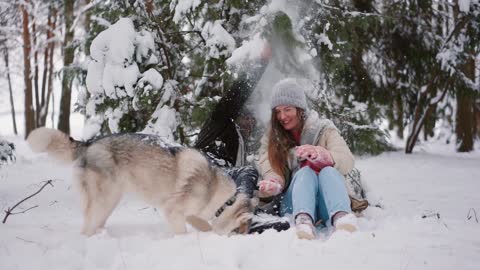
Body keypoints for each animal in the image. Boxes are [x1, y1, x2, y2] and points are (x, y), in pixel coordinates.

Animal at [27, 129, 255, 236]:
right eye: (241, 230)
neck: (219, 196)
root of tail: (89, 143)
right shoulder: (173, 211)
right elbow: (183, 231)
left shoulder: (189, 213)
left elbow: (203, 224)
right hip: (103, 200)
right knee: (86, 228)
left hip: (110, 202)